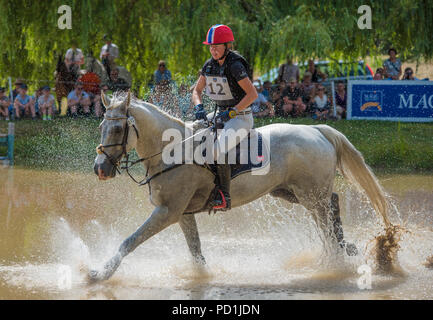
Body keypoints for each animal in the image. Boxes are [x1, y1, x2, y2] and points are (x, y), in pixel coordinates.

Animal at [89, 91, 390, 282]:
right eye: (102, 125)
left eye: (117, 129)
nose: (100, 169)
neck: (171, 149)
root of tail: (317, 130)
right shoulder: (182, 214)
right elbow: (196, 252)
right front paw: (203, 278)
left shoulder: (167, 212)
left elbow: (129, 242)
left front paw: (100, 274)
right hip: (291, 192)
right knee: (332, 206)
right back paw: (344, 248)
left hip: (310, 194)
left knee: (327, 218)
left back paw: (336, 258)